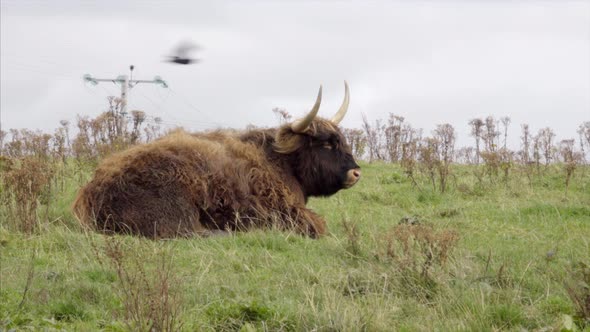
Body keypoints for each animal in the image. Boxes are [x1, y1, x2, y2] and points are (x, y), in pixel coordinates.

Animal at [74, 83, 360, 239]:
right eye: (326, 143)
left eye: (342, 140)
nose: (356, 173)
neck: (282, 164)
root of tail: (93, 192)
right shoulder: (282, 211)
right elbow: (317, 225)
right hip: (176, 207)